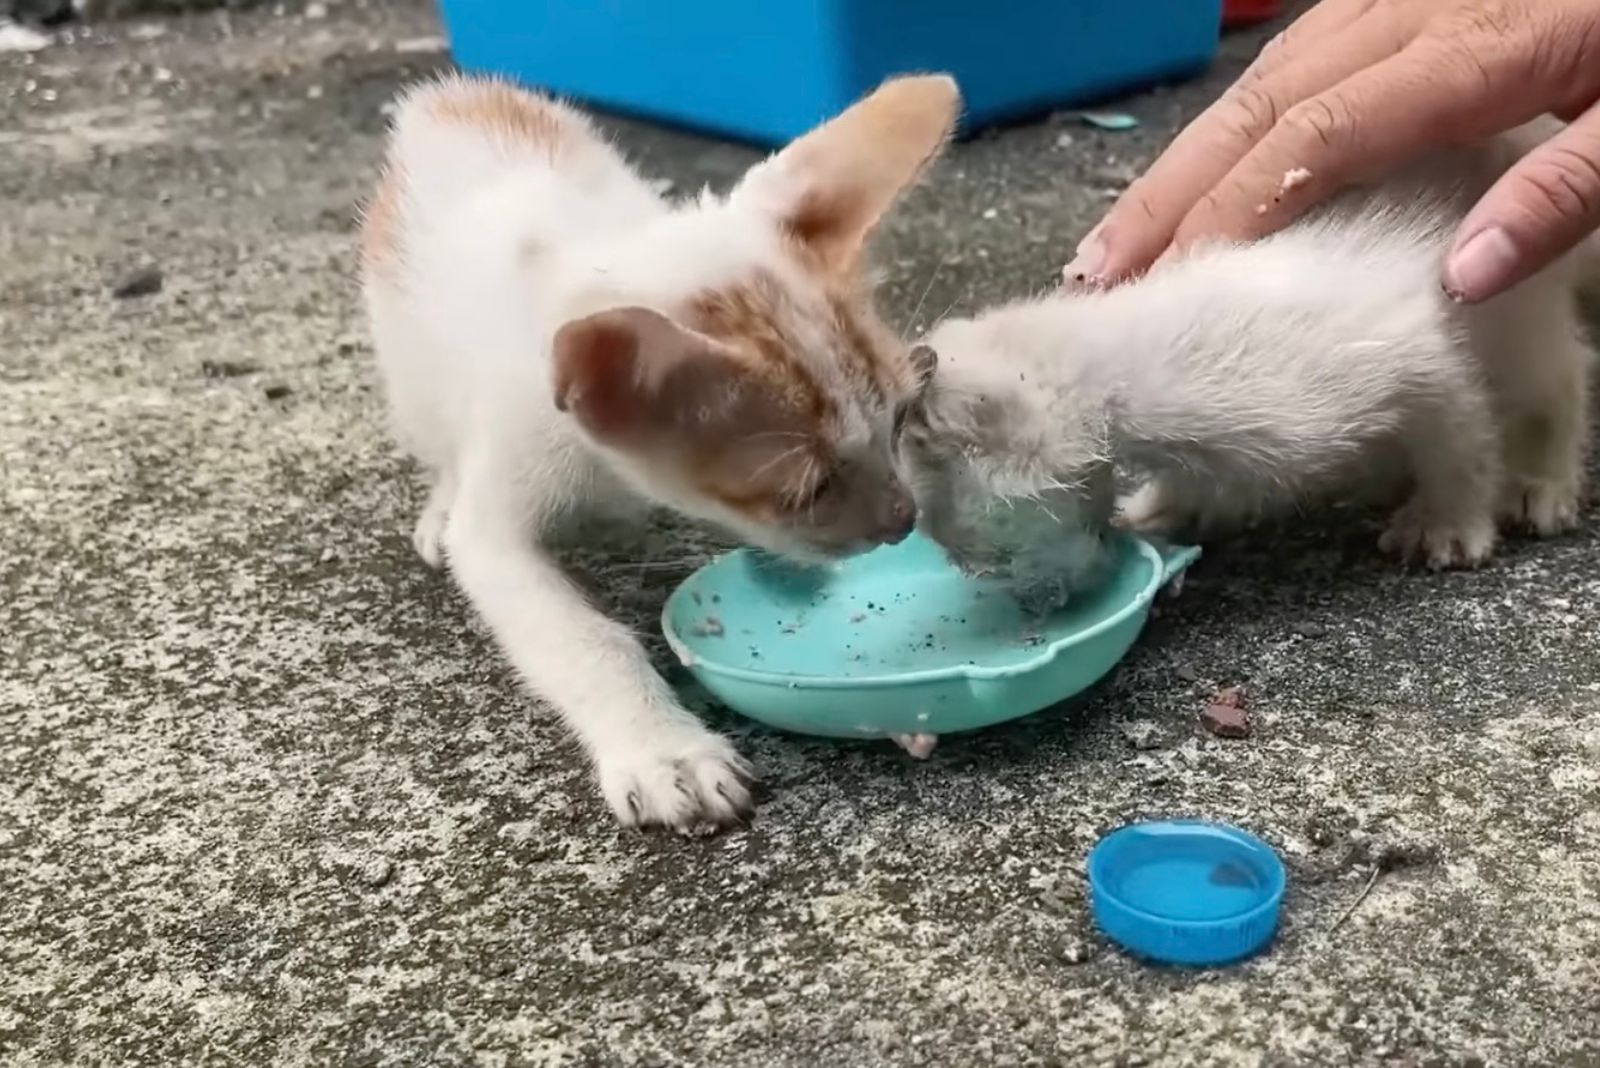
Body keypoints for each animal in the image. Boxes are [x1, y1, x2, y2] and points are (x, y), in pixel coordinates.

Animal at [363, 73, 953, 831]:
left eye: (901, 418)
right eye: (808, 489)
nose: (903, 518)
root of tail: (451, 95)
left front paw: (889, 705)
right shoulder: (505, 487)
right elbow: (579, 635)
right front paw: (664, 749)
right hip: (408, 363)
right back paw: (440, 505)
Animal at [908, 125, 1593, 591]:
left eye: (983, 556)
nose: (1052, 602)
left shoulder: (1387, 349)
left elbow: (1459, 431)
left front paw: (1445, 529)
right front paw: (1162, 508)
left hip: (1510, 270)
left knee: (1557, 375)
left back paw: (1539, 488)